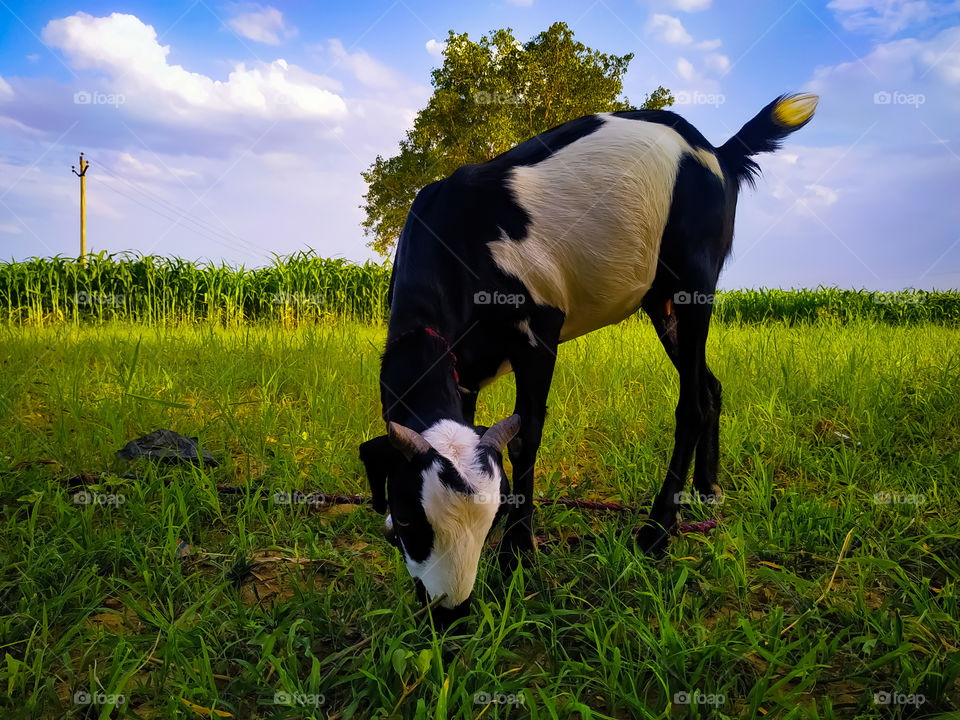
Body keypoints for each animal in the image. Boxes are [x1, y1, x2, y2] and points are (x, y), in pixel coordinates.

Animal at [359, 93, 818, 627]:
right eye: (408, 519)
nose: (449, 612)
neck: (455, 241)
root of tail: (719, 152)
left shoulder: (537, 330)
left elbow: (527, 436)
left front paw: (518, 551)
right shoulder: (464, 368)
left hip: (693, 280)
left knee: (692, 403)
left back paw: (658, 530)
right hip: (659, 301)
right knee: (710, 385)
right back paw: (707, 489)